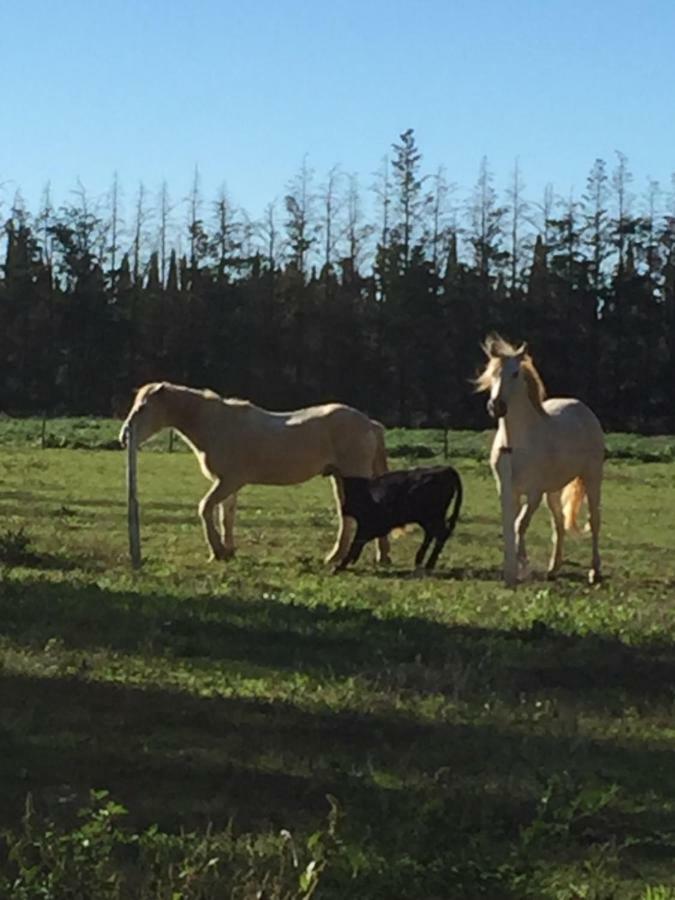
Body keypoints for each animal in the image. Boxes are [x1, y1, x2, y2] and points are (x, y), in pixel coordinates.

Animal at [117, 384, 390, 568]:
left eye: (143, 407)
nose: (124, 437)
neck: (216, 425)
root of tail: (370, 423)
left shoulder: (229, 482)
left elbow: (205, 508)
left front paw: (218, 551)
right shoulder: (227, 484)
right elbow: (226, 516)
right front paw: (227, 551)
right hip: (340, 479)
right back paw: (367, 556)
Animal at [334, 468, 462, 572]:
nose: (342, 508)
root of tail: (445, 469)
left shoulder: (367, 526)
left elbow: (355, 543)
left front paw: (339, 566)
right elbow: (357, 543)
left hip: (432, 518)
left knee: (441, 534)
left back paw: (429, 564)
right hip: (429, 519)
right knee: (431, 534)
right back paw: (420, 560)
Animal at [476, 334, 608, 588]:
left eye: (515, 373)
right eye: (492, 373)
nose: (496, 406)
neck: (516, 443)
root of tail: (583, 410)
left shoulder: (534, 492)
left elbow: (519, 524)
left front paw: (522, 567)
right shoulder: (508, 490)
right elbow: (513, 525)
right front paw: (517, 569)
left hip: (592, 477)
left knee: (594, 520)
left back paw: (594, 572)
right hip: (553, 490)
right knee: (559, 523)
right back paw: (553, 569)